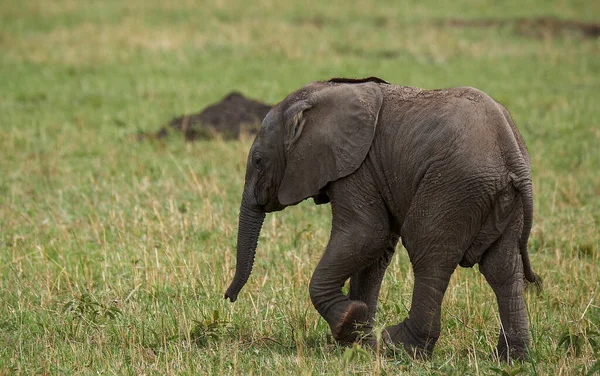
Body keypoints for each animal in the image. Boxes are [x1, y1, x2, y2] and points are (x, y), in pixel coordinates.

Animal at [224, 75, 540, 358]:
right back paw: (511, 357)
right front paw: (358, 341)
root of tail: (511, 153)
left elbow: (366, 233)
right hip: (500, 201)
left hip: (454, 187)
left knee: (429, 256)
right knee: (502, 269)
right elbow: (376, 248)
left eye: (258, 162)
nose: (229, 297)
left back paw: (401, 346)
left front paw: (350, 322)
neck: (323, 93)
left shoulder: (357, 167)